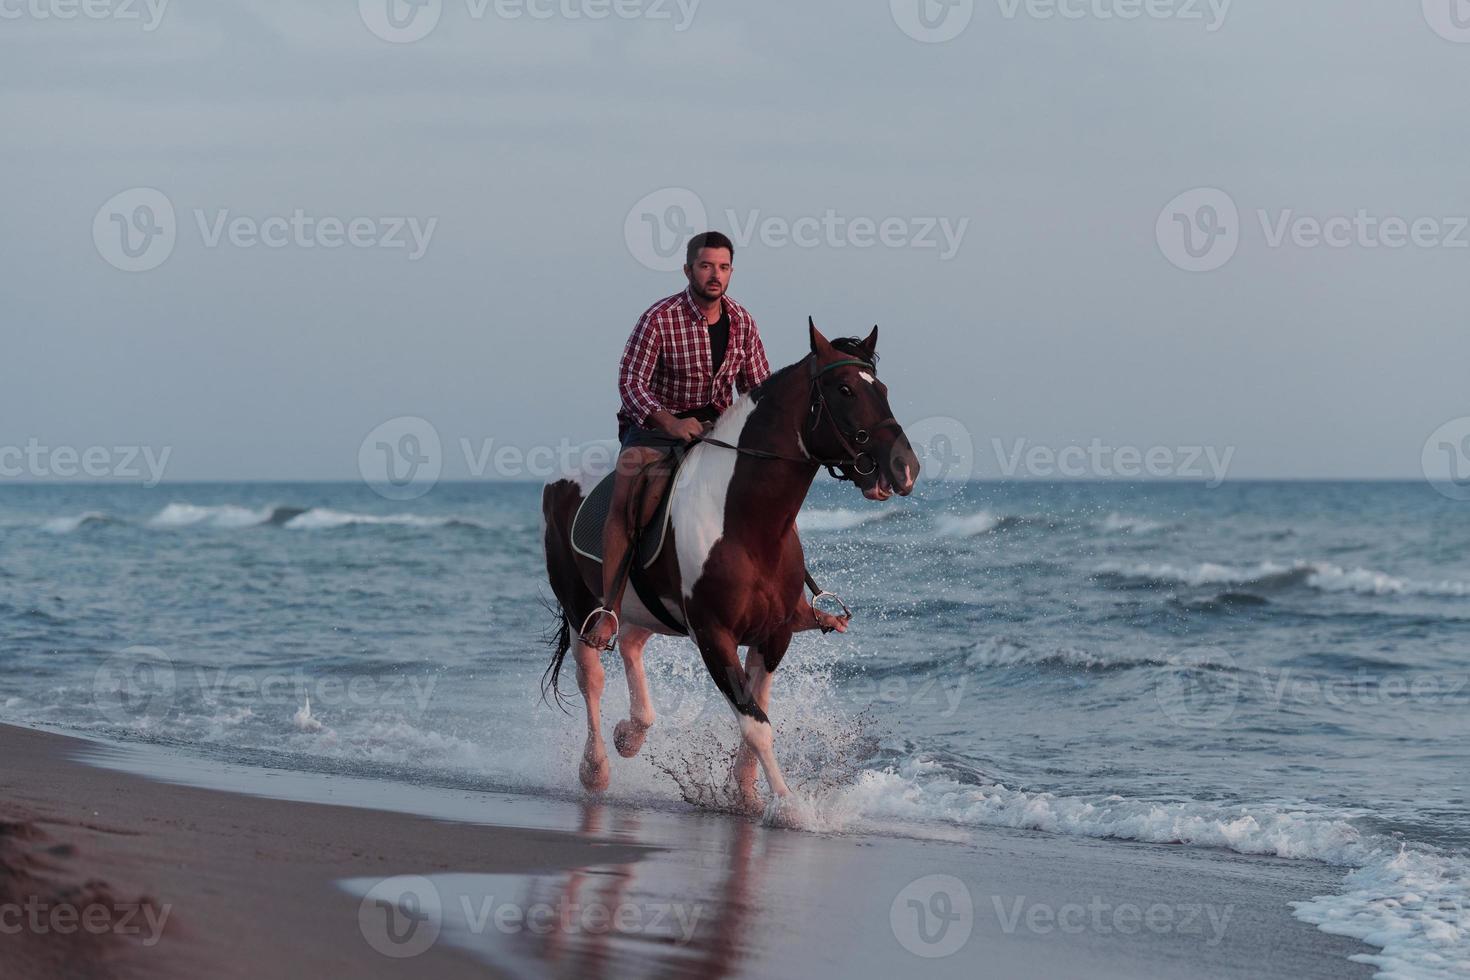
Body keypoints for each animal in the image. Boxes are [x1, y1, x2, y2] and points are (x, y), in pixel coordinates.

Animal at [543, 321, 917, 811]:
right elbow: (755, 724)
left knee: (631, 644)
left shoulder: (774, 635)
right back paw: (596, 769)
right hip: (580, 606)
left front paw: (746, 791)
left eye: (884, 389)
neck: (745, 523)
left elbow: (759, 714)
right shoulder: (713, 636)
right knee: (592, 676)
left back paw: (632, 734)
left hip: (647, 607)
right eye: (845, 390)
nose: (905, 468)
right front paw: (789, 806)